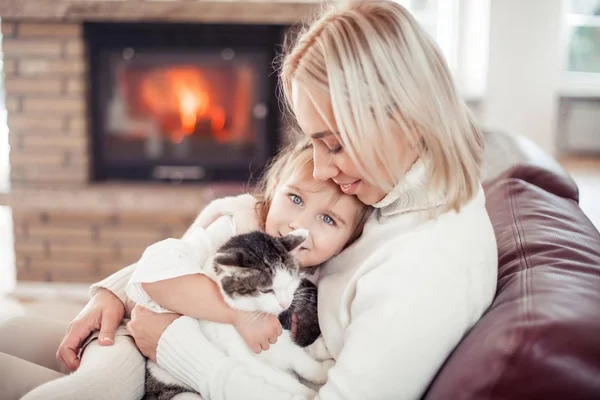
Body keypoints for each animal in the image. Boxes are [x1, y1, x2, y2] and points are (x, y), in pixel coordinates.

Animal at [144, 230, 332, 400]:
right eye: (267, 290)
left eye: (291, 283)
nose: (285, 304)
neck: (257, 314)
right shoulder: (245, 358)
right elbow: (282, 379)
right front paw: (308, 393)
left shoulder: (285, 342)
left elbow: (300, 359)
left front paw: (320, 372)